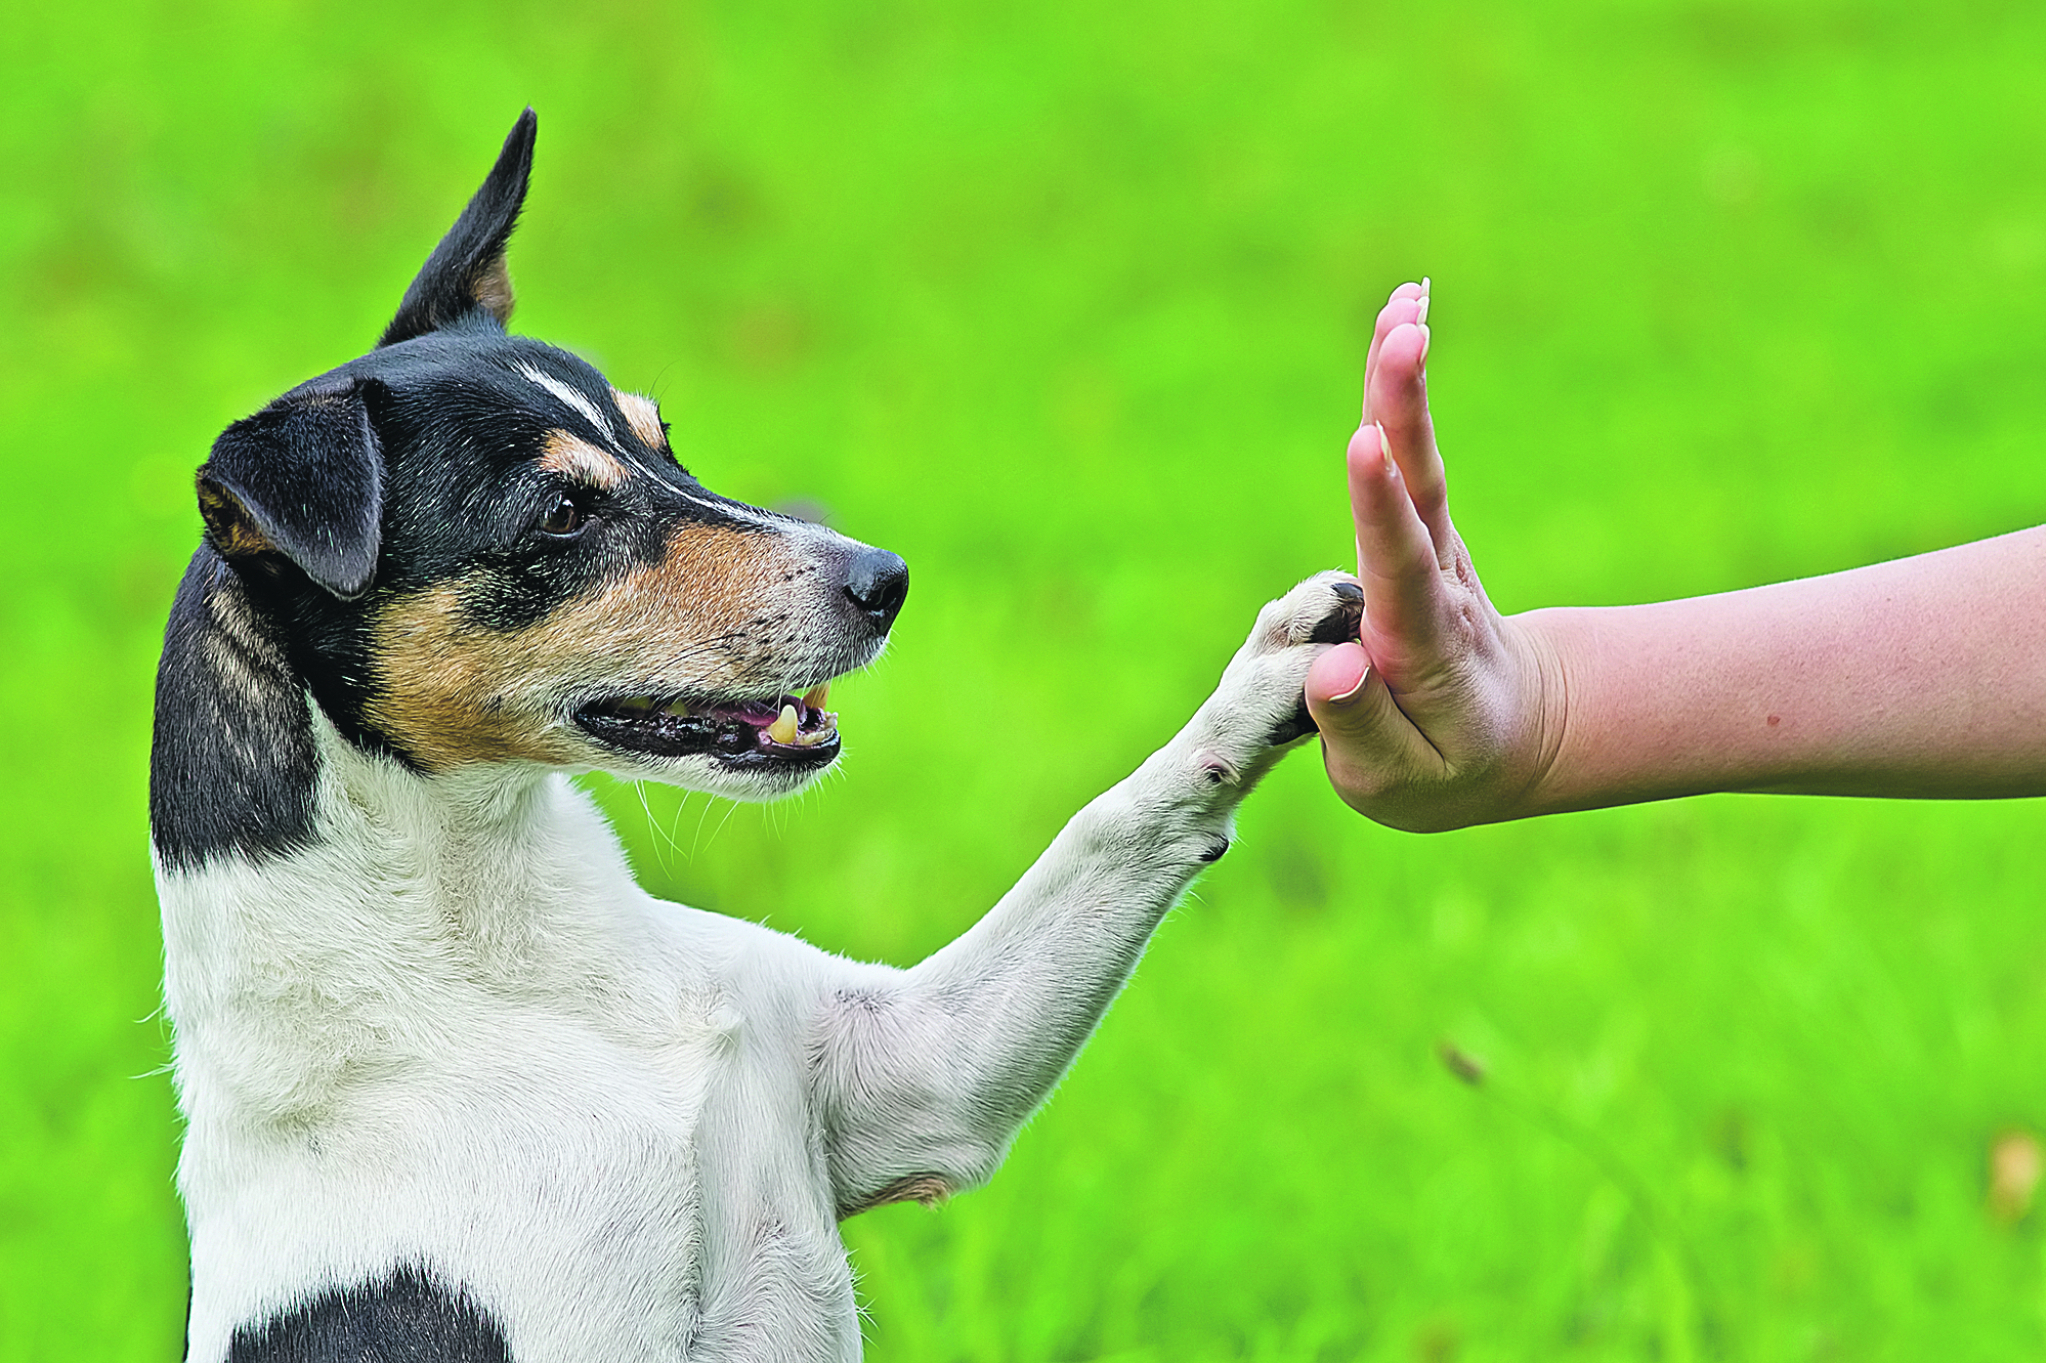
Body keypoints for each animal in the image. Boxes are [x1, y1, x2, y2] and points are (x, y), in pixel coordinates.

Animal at [151, 108, 1366, 1358]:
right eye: (561, 512)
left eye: (664, 440)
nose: (886, 580)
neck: (506, 963)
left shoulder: (921, 1072)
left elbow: (1113, 823)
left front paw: (1276, 669)